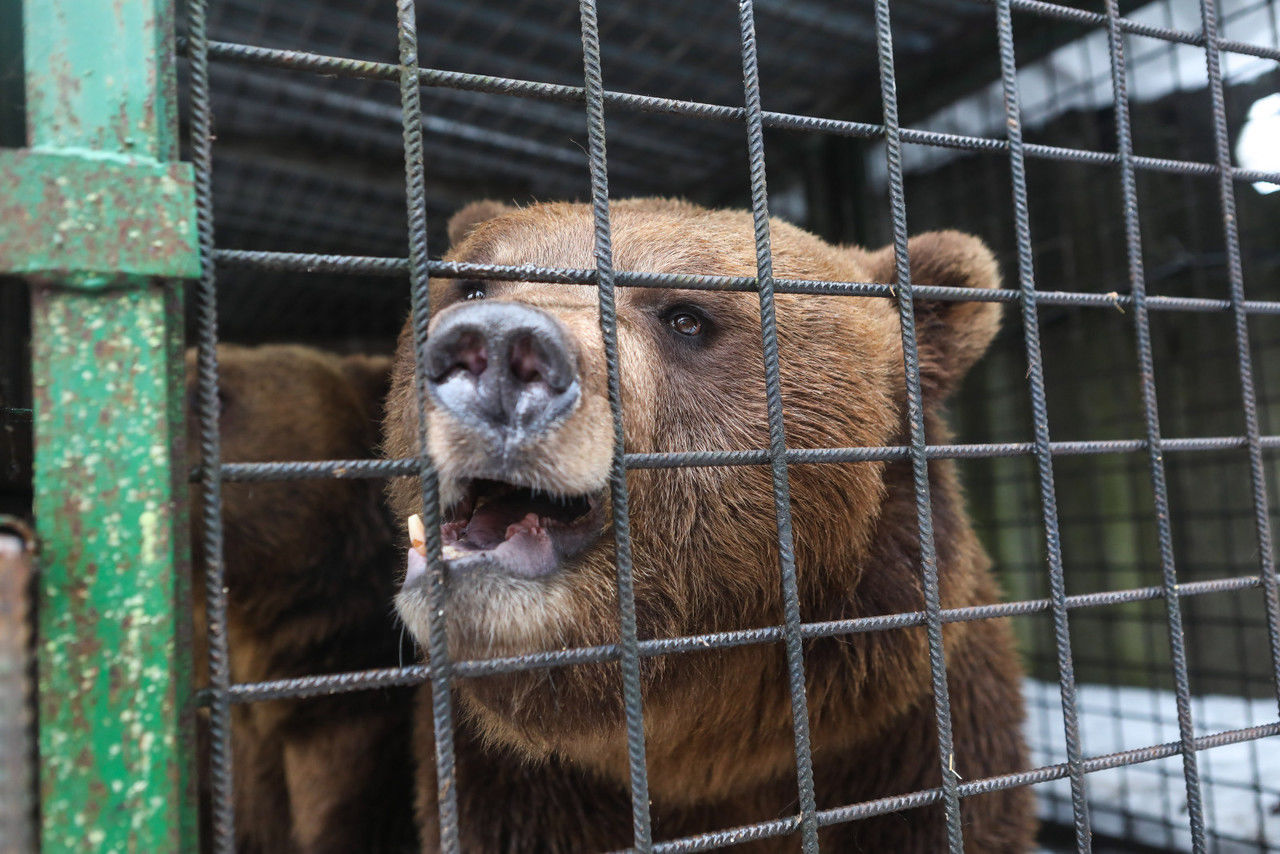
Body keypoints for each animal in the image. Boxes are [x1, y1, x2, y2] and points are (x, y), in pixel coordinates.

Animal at [384, 197, 1034, 850]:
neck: (709, 748)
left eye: (687, 318)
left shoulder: (917, 747)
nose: (496, 344)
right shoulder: (517, 796)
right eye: (472, 285)